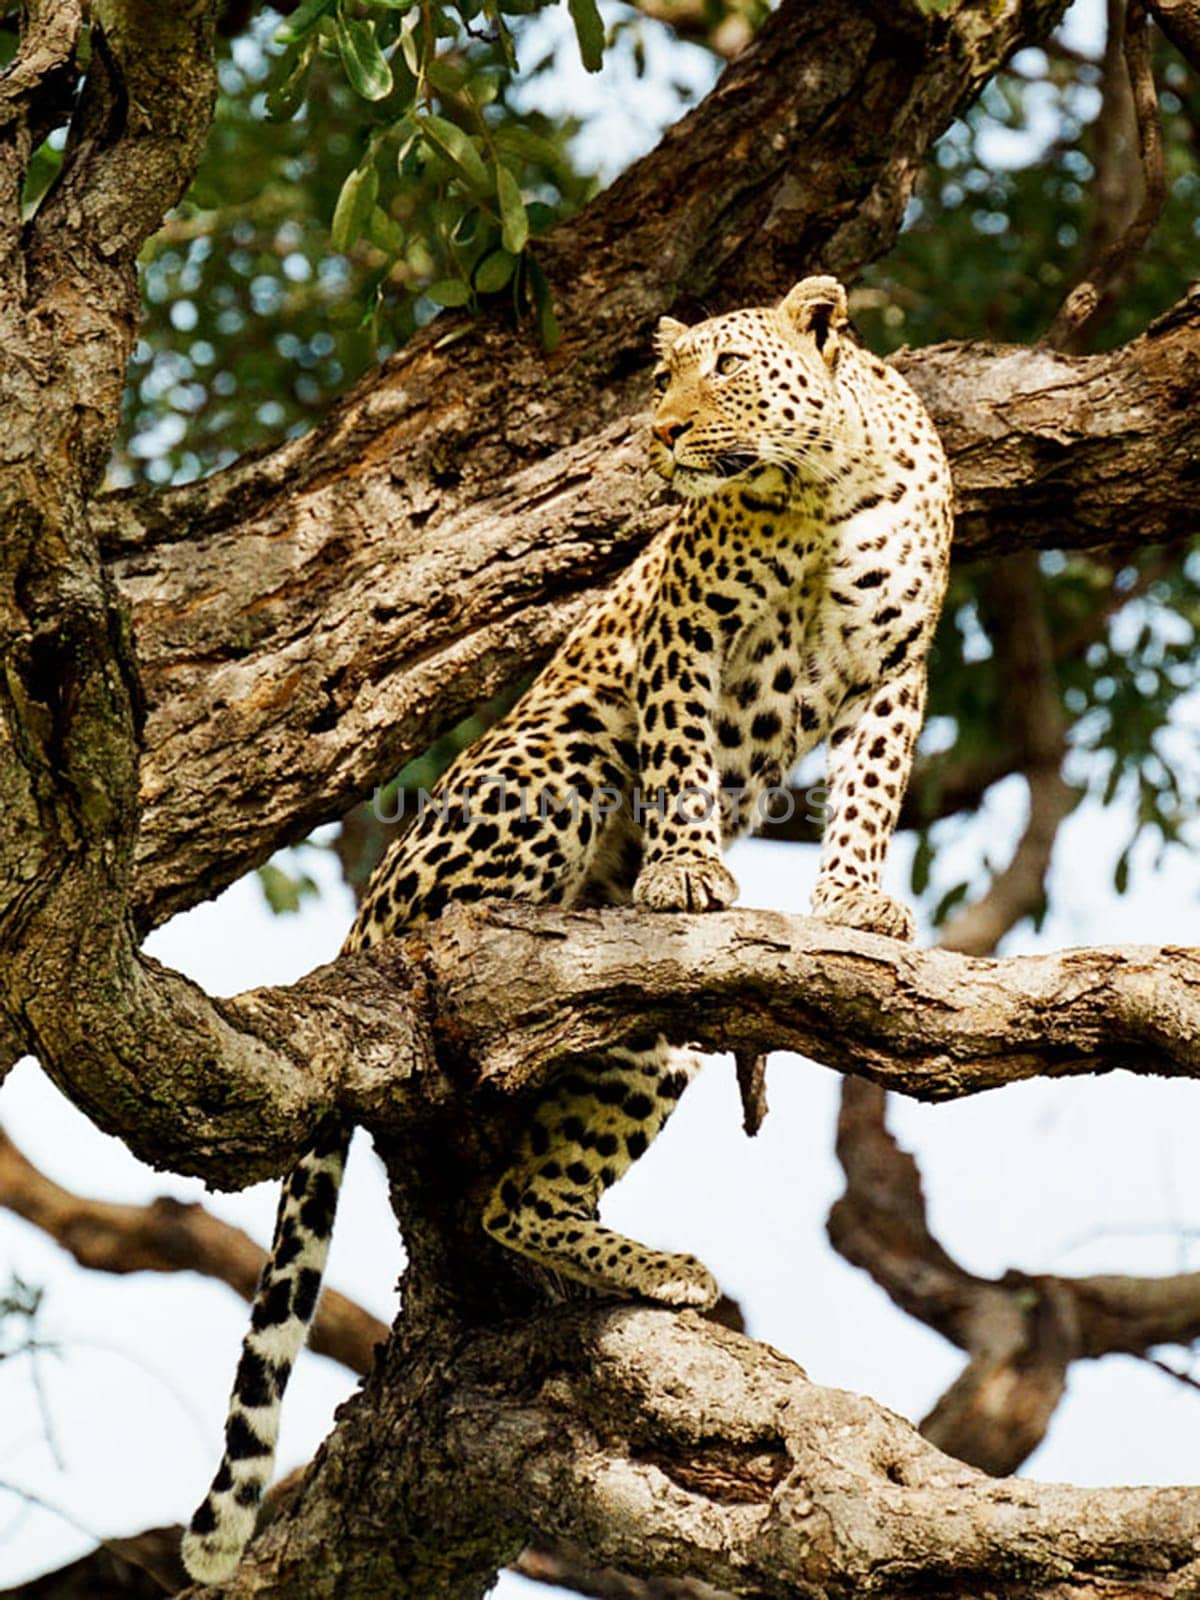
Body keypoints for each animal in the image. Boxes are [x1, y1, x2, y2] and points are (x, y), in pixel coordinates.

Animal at [183, 272, 960, 1574]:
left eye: (728, 370)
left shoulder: (898, 664)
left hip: (649, 1040)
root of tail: (357, 929)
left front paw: (856, 897)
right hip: (557, 766)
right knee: (476, 1055)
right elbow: (686, 751)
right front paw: (689, 871)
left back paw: (651, 1258)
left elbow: (874, 785)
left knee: (524, 1198)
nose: (660, 434)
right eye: (663, 377)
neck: (819, 489)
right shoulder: (683, 630)